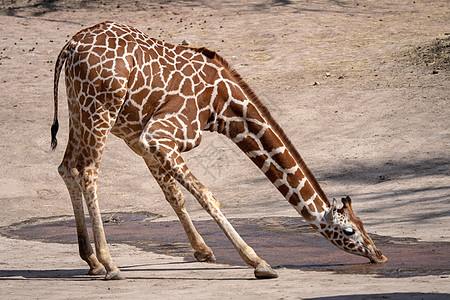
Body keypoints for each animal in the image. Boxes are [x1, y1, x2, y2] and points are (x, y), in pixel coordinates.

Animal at [51, 22, 384, 280]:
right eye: (350, 231)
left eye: (363, 224)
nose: (378, 254)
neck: (223, 105)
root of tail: (69, 47)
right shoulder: (160, 134)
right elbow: (206, 194)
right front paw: (258, 262)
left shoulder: (139, 138)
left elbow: (175, 195)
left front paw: (203, 250)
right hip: (100, 111)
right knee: (89, 171)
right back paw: (110, 264)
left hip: (78, 109)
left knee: (68, 167)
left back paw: (92, 260)